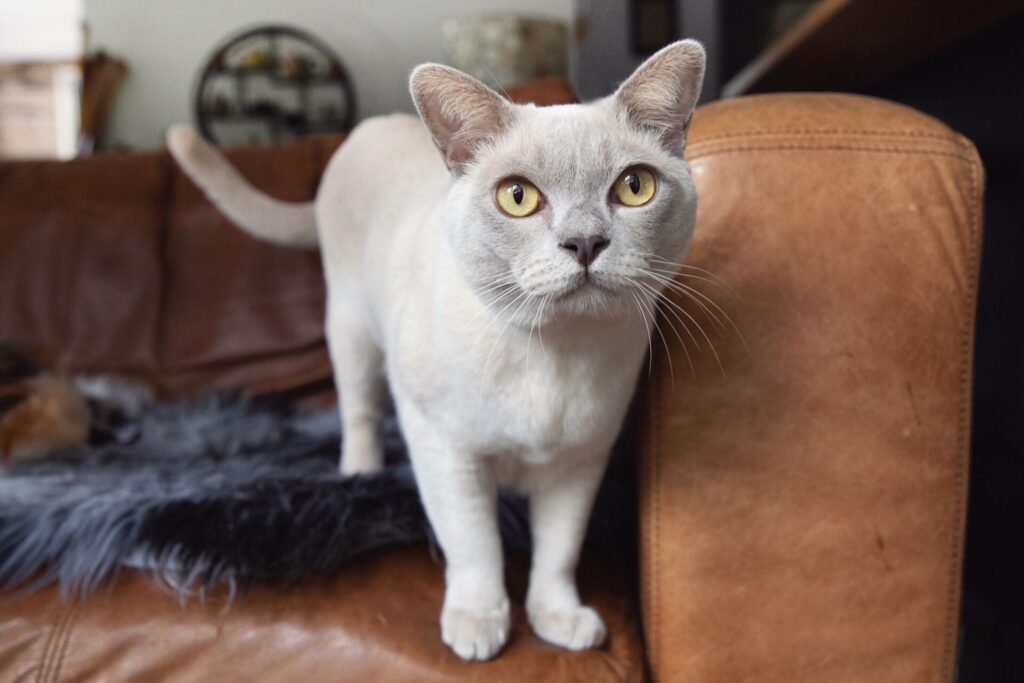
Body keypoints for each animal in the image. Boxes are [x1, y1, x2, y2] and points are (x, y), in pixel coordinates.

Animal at [169, 41, 704, 663]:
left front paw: (558, 619)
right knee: (359, 414)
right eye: (518, 197)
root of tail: (366, 128)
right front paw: (479, 626)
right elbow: (474, 546)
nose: (585, 242)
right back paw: (360, 474)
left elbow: (558, 552)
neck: (554, 354)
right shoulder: (446, 450)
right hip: (350, 334)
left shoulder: (579, 462)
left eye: (634, 187)